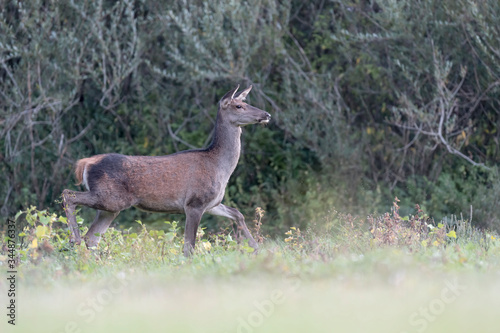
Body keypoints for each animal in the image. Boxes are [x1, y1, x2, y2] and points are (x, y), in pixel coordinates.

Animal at [64, 85, 272, 254]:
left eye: (245, 102)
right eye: (238, 106)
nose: (266, 115)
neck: (219, 167)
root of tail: (86, 163)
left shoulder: (211, 203)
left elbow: (237, 213)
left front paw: (256, 248)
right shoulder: (194, 202)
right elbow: (189, 247)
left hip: (110, 207)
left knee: (91, 238)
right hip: (110, 197)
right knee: (69, 195)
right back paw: (73, 238)